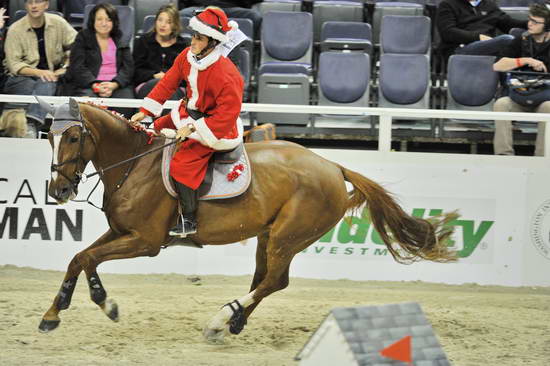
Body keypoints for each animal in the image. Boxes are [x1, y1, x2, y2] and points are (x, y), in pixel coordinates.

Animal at [41, 100, 460, 344]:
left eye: (74, 137)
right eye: (49, 137)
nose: (58, 189)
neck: (134, 165)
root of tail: (331, 165)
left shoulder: (144, 241)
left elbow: (88, 259)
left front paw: (104, 303)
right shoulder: (119, 231)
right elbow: (79, 258)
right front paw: (53, 314)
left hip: (287, 237)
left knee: (274, 281)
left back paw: (220, 319)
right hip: (269, 236)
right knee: (266, 280)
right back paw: (233, 321)